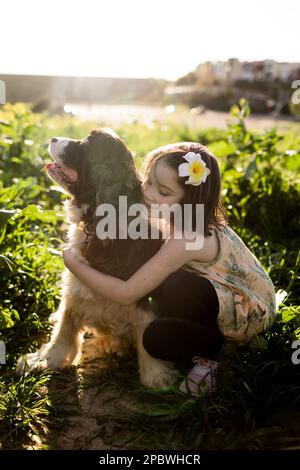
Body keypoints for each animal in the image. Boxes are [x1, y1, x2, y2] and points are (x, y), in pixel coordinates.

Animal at [16, 129, 178, 390]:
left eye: (86, 143)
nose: (53, 138)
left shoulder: (146, 295)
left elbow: (147, 335)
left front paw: (157, 375)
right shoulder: (75, 286)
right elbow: (65, 327)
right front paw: (45, 359)